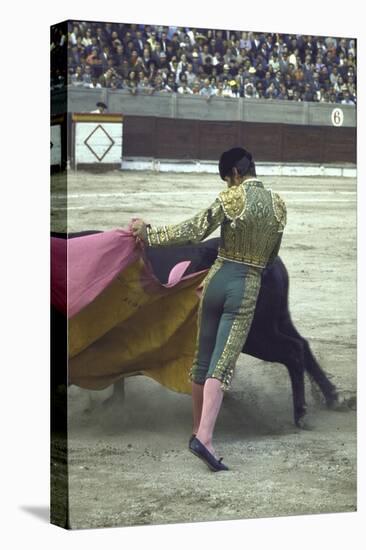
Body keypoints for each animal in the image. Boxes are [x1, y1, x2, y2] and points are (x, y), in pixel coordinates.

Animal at [50, 233, 344, 432]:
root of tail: (269, 262)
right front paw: (110, 404)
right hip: (277, 320)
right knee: (302, 345)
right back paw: (334, 398)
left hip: (255, 335)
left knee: (293, 351)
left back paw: (301, 414)